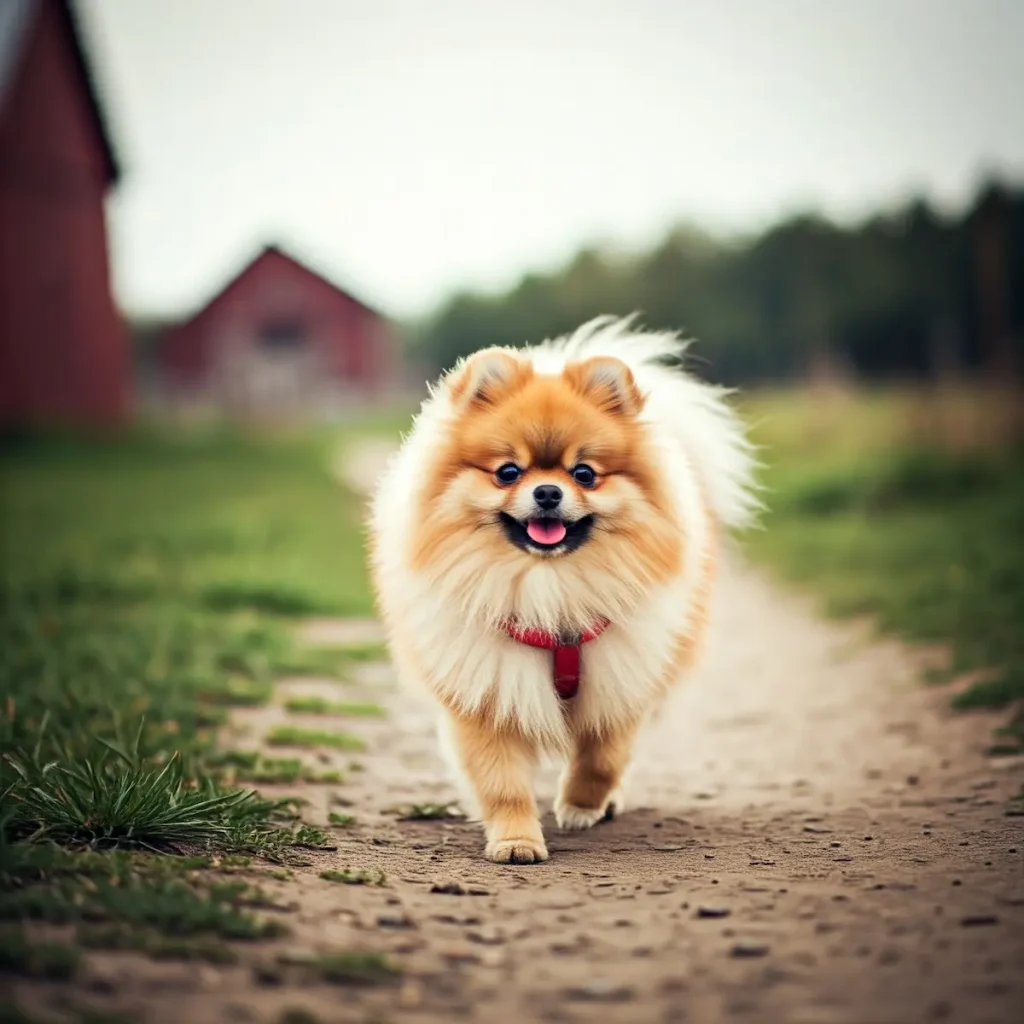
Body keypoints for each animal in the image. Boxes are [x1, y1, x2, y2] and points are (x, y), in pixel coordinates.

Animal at [366, 315, 753, 860]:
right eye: (508, 471)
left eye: (584, 474)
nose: (547, 491)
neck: (550, 588)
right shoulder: (486, 690)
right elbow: (502, 781)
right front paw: (515, 840)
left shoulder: (621, 678)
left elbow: (602, 757)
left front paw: (581, 806)